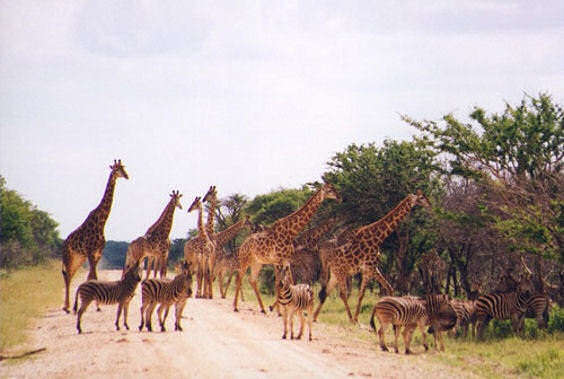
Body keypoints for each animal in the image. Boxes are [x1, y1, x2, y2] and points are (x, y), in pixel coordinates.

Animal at [60, 159, 129, 314]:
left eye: (124, 168)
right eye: (116, 169)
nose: (127, 176)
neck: (102, 222)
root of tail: (64, 244)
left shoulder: (97, 253)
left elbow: (92, 276)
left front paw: (97, 304)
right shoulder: (91, 253)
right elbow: (94, 276)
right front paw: (97, 305)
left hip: (78, 258)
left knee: (70, 275)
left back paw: (67, 306)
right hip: (69, 257)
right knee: (67, 277)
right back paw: (66, 307)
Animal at [232, 183, 340, 314]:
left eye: (334, 188)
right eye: (329, 190)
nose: (339, 197)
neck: (291, 232)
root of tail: (243, 245)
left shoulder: (286, 260)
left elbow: (290, 282)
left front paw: (282, 307)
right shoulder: (279, 260)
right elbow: (279, 283)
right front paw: (279, 309)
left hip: (257, 262)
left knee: (252, 280)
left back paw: (262, 308)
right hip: (245, 260)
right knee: (239, 277)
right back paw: (236, 307)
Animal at [312, 190, 432, 324]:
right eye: (421, 198)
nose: (430, 205)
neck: (378, 237)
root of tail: (330, 262)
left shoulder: (371, 269)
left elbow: (385, 288)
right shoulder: (370, 268)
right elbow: (365, 293)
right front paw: (356, 319)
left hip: (335, 274)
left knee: (326, 291)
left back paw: (315, 316)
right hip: (341, 273)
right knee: (341, 294)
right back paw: (349, 318)